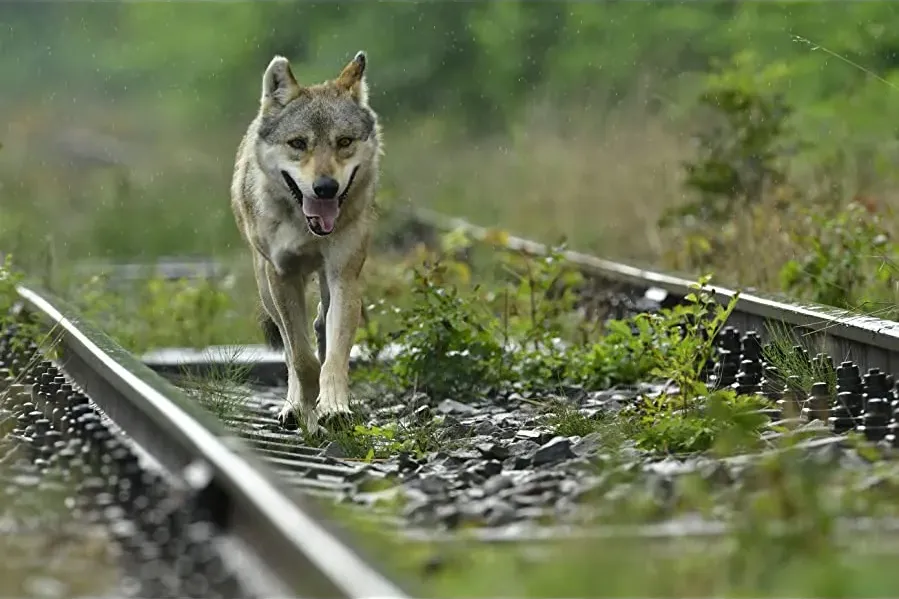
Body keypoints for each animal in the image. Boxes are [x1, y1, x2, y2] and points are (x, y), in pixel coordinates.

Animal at [230, 51, 381, 432]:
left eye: (344, 142)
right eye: (298, 143)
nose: (325, 188)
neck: (306, 228)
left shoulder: (344, 276)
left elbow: (334, 358)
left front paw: (335, 408)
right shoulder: (283, 276)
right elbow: (301, 358)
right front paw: (306, 410)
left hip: (329, 283)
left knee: (321, 326)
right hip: (266, 287)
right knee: (288, 347)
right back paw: (293, 407)